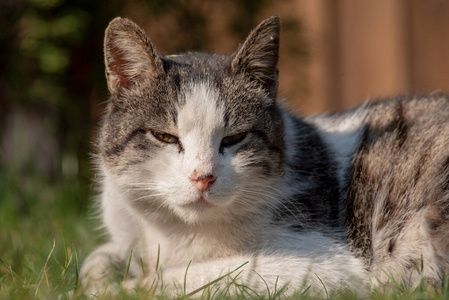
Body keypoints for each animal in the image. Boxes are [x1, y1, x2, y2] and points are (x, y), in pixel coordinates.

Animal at [79, 15, 448, 296]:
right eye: (165, 137)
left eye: (235, 138)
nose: (203, 177)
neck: (174, 234)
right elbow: (93, 262)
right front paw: (102, 274)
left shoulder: (323, 263)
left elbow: (184, 277)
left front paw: (112, 289)